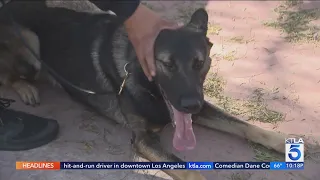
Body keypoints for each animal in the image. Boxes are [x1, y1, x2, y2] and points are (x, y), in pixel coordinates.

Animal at [0, 1, 288, 180]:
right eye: (167, 64)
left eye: (199, 62)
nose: (191, 105)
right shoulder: (143, 139)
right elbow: (191, 170)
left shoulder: (198, 104)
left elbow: (244, 125)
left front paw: (281, 142)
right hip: (32, 49)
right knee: (6, 76)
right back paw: (25, 88)